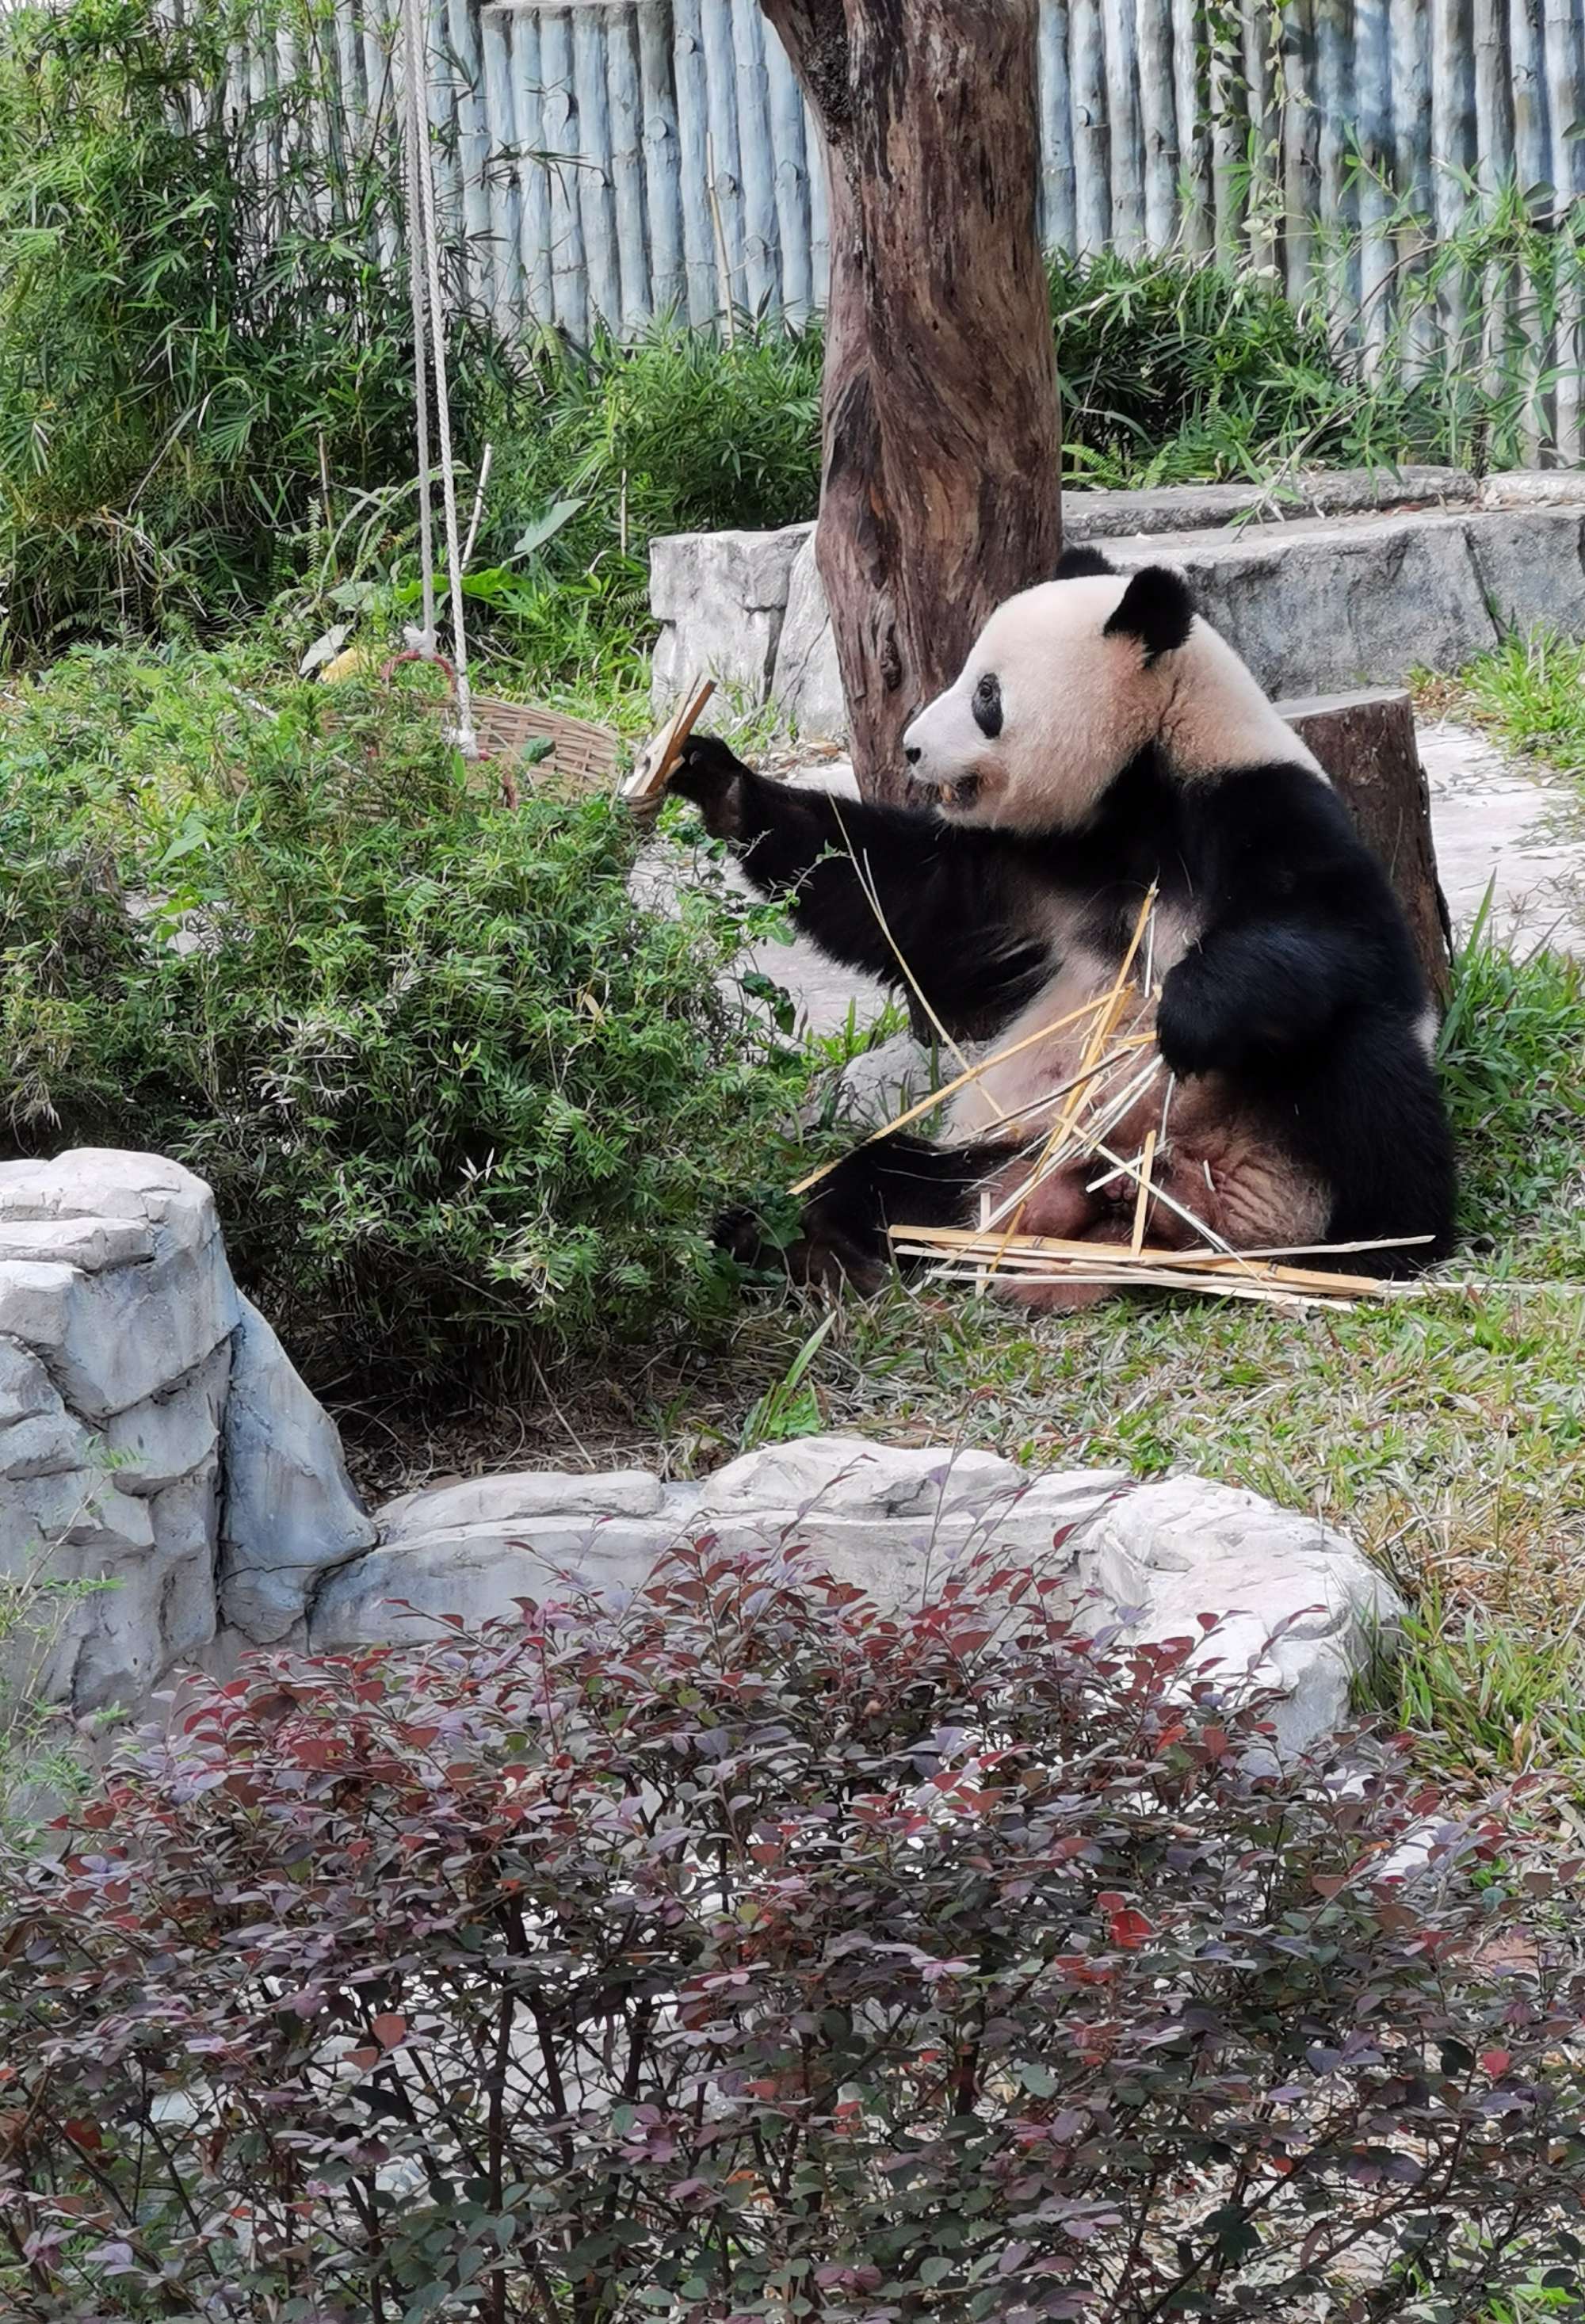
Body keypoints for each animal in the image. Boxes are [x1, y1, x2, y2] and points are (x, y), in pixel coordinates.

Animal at [659, 548, 1449, 1311]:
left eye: (986, 693)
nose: (912, 748)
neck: (1138, 790)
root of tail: (1145, 1222)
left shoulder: (1261, 805)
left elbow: (1353, 937)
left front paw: (1187, 1014)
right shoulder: (1031, 865)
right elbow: (898, 899)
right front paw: (717, 779)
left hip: (1287, 1166)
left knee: (1360, 1051)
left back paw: (1383, 1246)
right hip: (1012, 1160)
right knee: (879, 1181)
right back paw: (798, 1248)